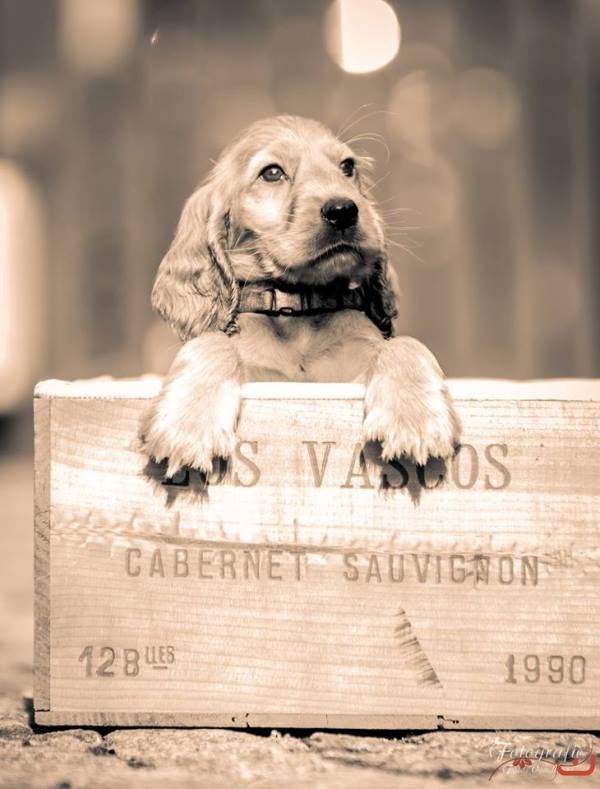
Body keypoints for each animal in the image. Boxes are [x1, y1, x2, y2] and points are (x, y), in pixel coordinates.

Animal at [140, 115, 460, 477]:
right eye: (272, 173)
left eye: (347, 167)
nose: (343, 210)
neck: (299, 308)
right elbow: (211, 340)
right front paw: (188, 426)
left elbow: (404, 344)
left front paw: (415, 419)